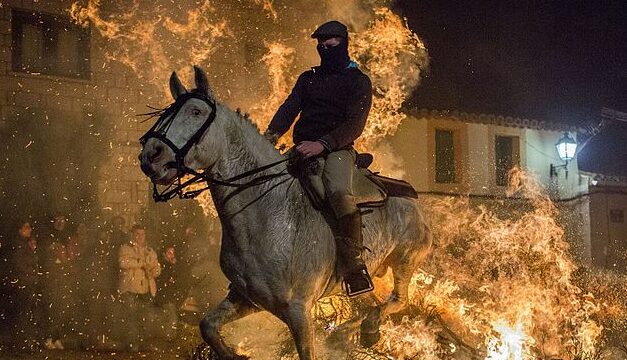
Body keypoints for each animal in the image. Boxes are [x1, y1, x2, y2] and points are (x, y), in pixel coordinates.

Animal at [139, 65, 432, 360]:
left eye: (196, 112)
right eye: (164, 114)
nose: (150, 156)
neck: (268, 214)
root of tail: (413, 202)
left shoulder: (298, 312)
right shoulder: (247, 298)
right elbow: (207, 326)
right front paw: (235, 354)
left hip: (405, 262)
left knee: (398, 300)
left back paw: (368, 327)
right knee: (373, 302)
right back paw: (346, 332)